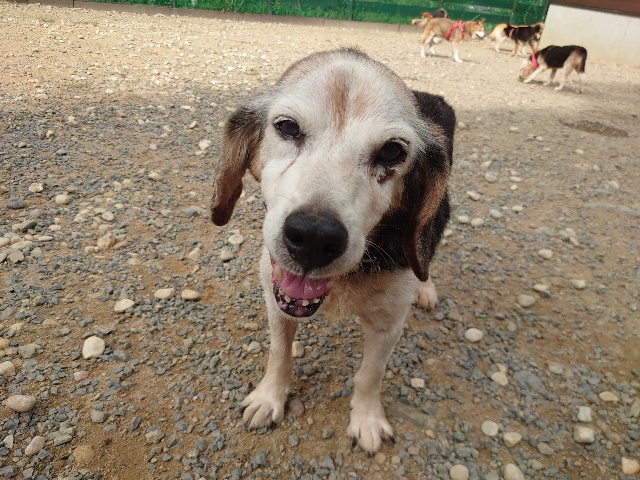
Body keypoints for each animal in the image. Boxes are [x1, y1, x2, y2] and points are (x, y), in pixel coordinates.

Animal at [210, 48, 455, 454]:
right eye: (288, 128)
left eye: (392, 151)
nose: (313, 236)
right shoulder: (275, 300)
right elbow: (279, 354)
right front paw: (269, 398)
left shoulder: (389, 326)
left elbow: (370, 375)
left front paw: (367, 420)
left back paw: (426, 287)